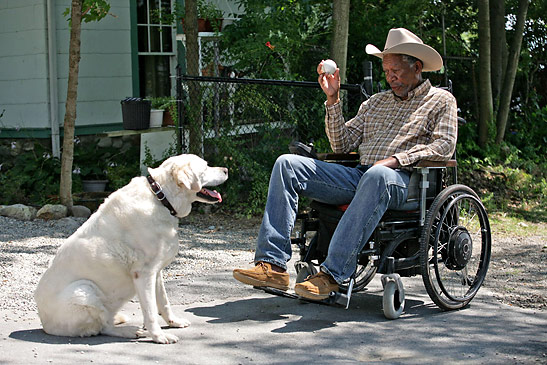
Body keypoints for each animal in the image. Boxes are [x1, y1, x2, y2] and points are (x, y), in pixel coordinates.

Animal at [34, 155, 228, 342]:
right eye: (206, 166)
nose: (226, 169)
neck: (160, 197)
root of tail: (45, 324)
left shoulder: (156, 272)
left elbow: (163, 301)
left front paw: (174, 322)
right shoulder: (143, 273)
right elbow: (150, 311)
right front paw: (159, 336)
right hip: (84, 290)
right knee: (103, 327)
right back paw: (131, 331)